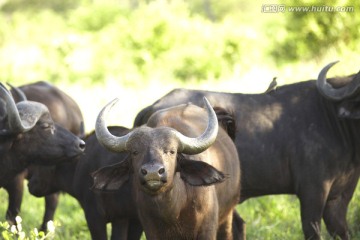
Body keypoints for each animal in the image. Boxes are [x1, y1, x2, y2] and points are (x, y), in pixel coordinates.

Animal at [92, 96, 242, 239]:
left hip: (228, 214)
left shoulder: (207, 229)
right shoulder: (150, 229)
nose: (152, 173)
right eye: (135, 152)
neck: (173, 213)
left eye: (171, 151)